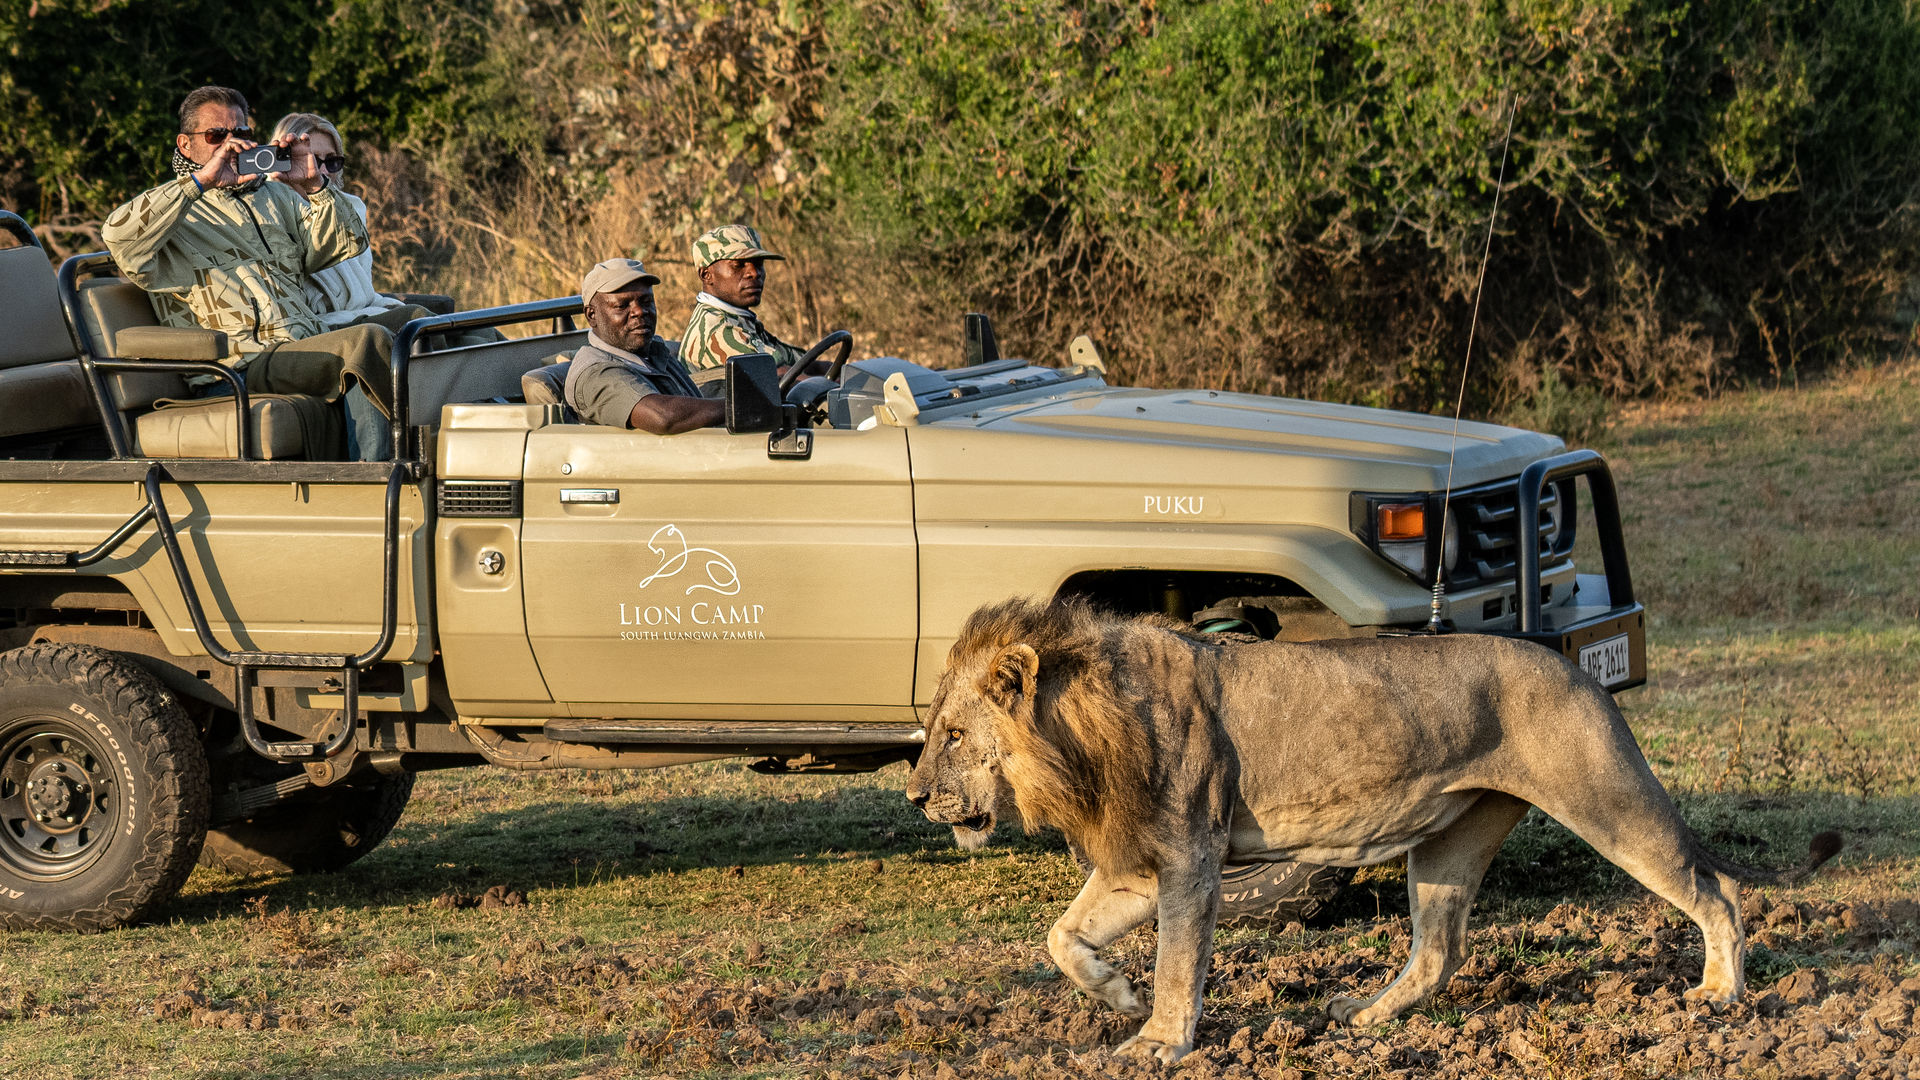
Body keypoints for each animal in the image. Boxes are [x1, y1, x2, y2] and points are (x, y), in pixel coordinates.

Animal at [906, 595, 1835, 1060]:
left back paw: (1720, 994)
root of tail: (1574, 665)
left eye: (951, 736)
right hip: (1451, 842)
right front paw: (1117, 994)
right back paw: (1365, 1017)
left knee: (1715, 884)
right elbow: (1062, 937)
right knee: (1438, 952)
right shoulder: (1139, 863)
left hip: (1607, 800)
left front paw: (1160, 1040)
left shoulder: (1190, 855)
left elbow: (1178, 963)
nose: (914, 797)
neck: (1080, 732)